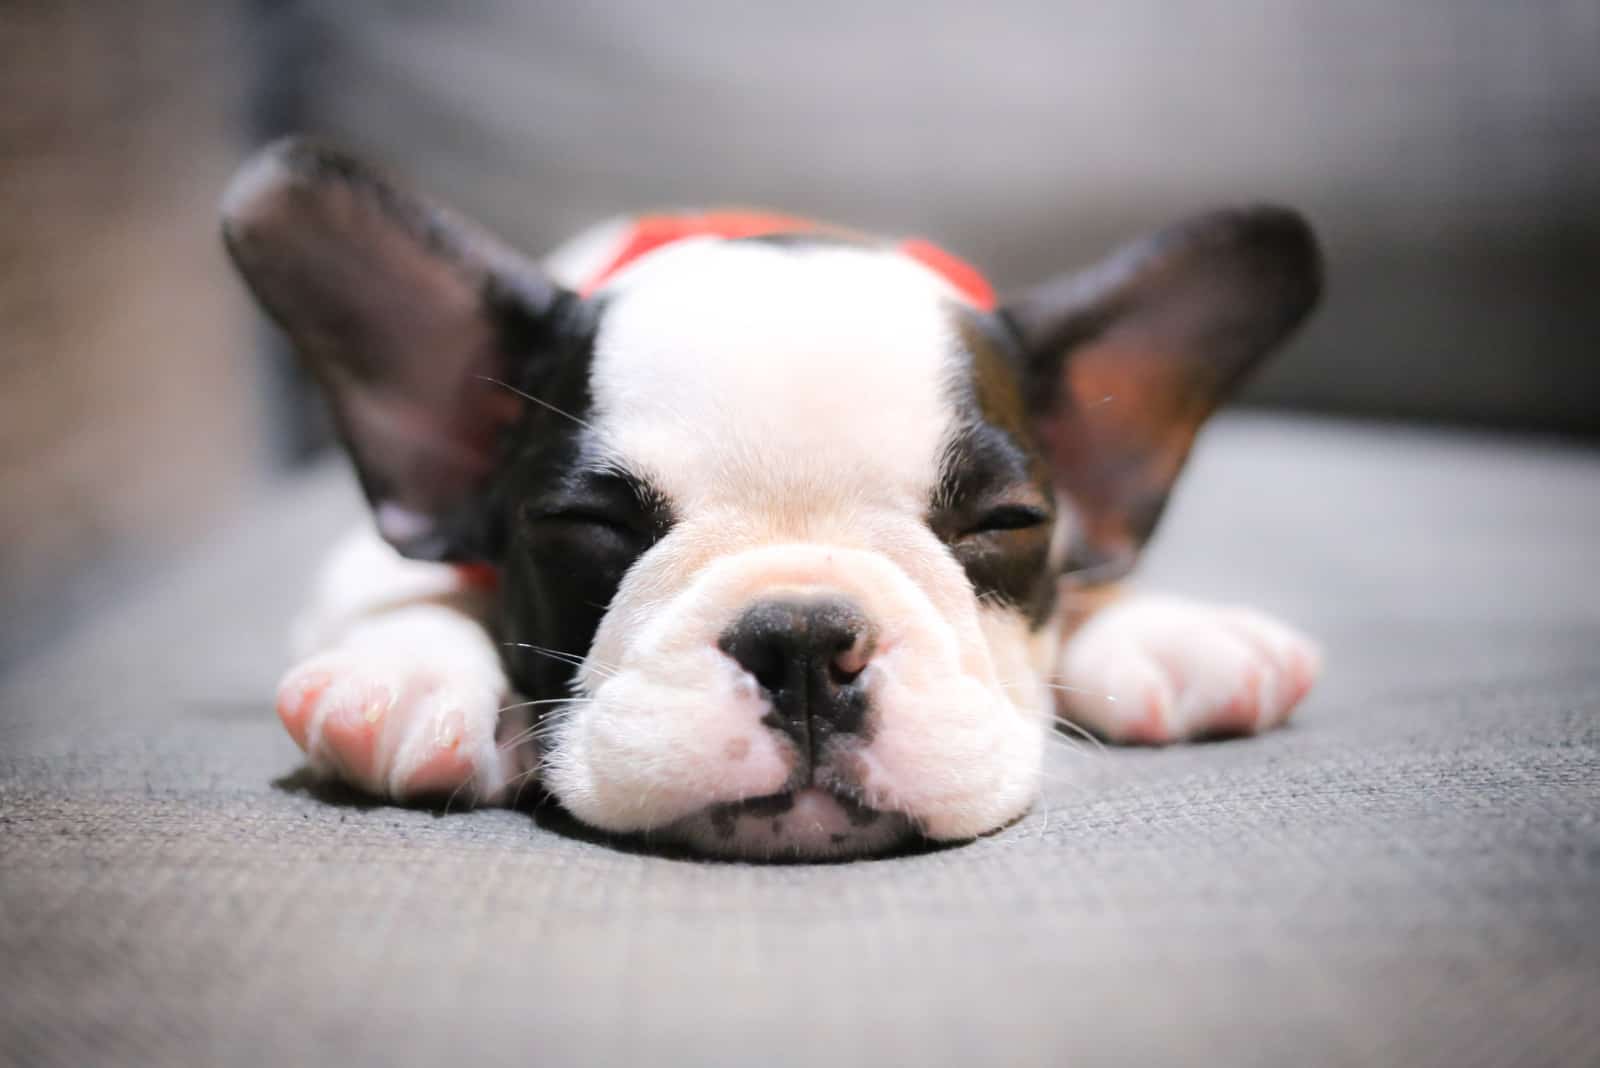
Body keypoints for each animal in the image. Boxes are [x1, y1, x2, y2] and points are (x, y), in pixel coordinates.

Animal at [225, 139, 1324, 856]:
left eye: (1005, 522)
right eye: (587, 525)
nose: (801, 641)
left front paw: (1170, 629)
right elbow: (406, 589)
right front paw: (408, 670)